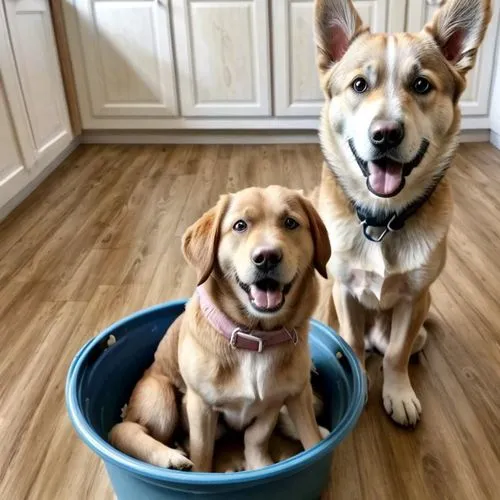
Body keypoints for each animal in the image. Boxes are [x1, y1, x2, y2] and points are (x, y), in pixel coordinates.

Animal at [108, 186, 332, 470]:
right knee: (124, 429)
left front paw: (259, 463)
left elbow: (256, 436)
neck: (254, 336)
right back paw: (169, 456)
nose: (266, 257)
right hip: (160, 399)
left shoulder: (275, 399)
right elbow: (202, 451)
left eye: (291, 223)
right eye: (240, 225)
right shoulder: (199, 405)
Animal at [312, 0, 492, 426]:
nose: (386, 134)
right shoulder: (344, 291)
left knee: (403, 347)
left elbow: (396, 353)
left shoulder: (414, 300)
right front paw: (359, 380)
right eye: (360, 85)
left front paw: (398, 393)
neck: (382, 219)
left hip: (421, 321)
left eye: (421, 85)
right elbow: (353, 341)